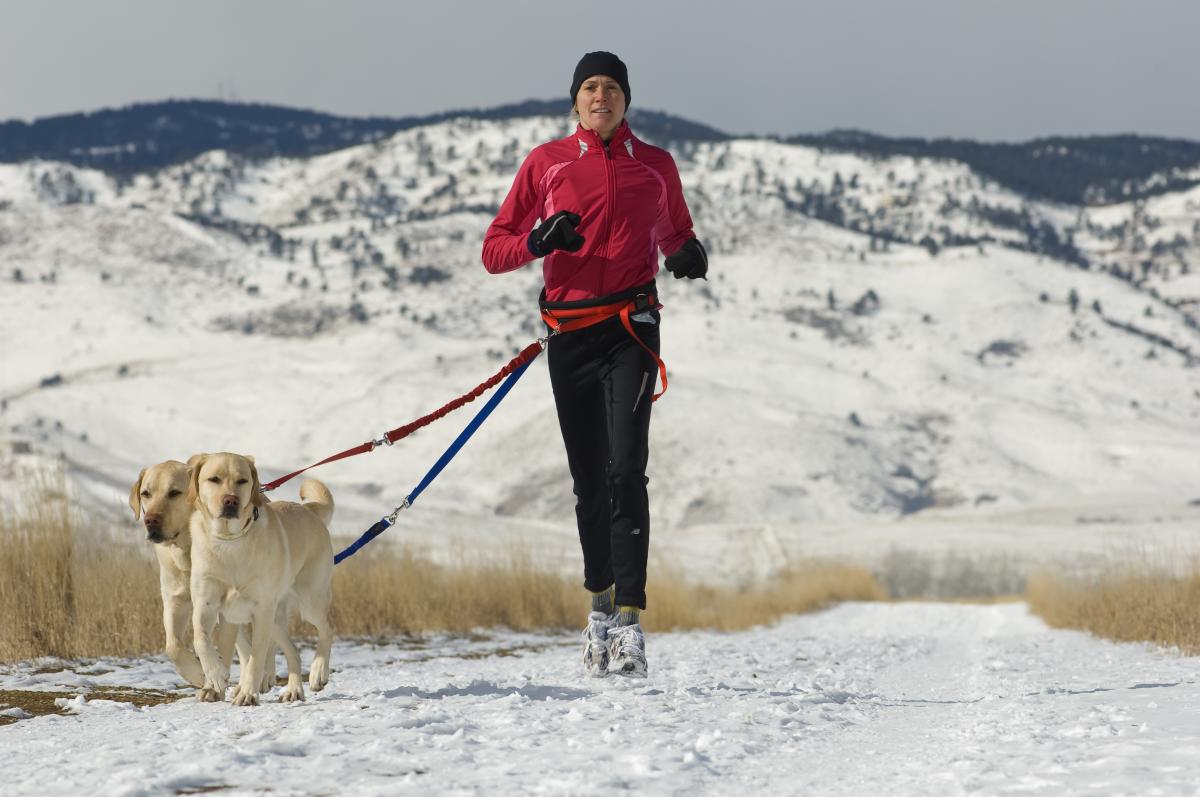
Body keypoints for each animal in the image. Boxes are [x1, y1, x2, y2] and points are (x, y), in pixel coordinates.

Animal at [129, 460, 274, 691]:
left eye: (174, 493)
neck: (186, 551)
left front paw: (209, 673)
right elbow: (172, 645)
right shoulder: (176, 601)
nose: (151, 521)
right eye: (146, 493)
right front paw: (198, 674)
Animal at [189, 451, 336, 705]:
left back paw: (318, 672)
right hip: (273, 617)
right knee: (292, 650)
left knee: (327, 630)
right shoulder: (207, 605)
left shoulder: (260, 609)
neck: (230, 542)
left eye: (242, 480)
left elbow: (256, 657)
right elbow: (202, 640)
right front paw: (216, 680)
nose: (231, 501)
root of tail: (309, 510)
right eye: (214, 479)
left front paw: (248, 692)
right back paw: (293, 689)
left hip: (308, 601)